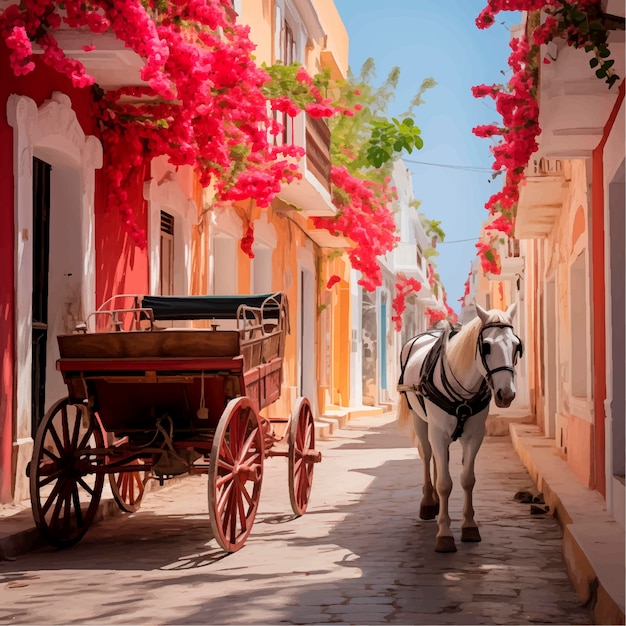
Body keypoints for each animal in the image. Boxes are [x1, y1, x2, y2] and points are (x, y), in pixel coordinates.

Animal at [394, 302, 520, 552]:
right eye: (486, 346)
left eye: (516, 346)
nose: (506, 394)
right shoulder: (438, 433)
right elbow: (445, 484)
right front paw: (444, 534)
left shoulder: (475, 435)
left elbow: (467, 479)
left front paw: (469, 526)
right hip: (421, 421)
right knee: (427, 455)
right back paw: (428, 502)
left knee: (436, 459)